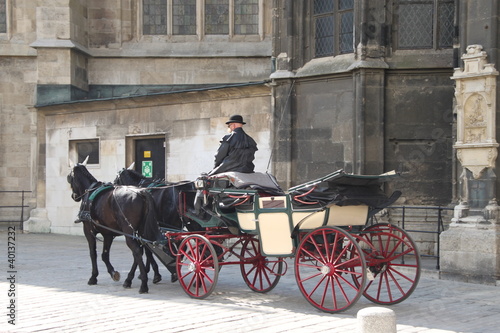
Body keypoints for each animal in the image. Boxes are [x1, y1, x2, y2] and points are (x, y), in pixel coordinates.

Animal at [67, 160, 160, 292]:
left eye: (69, 177)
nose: (74, 196)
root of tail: (141, 192)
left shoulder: (88, 231)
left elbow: (93, 253)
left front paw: (93, 277)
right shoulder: (108, 234)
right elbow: (105, 255)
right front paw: (112, 272)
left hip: (129, 231)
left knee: (137, 251)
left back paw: (143, 284)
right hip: (141, 230)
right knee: (141, 251)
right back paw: (130, 279)